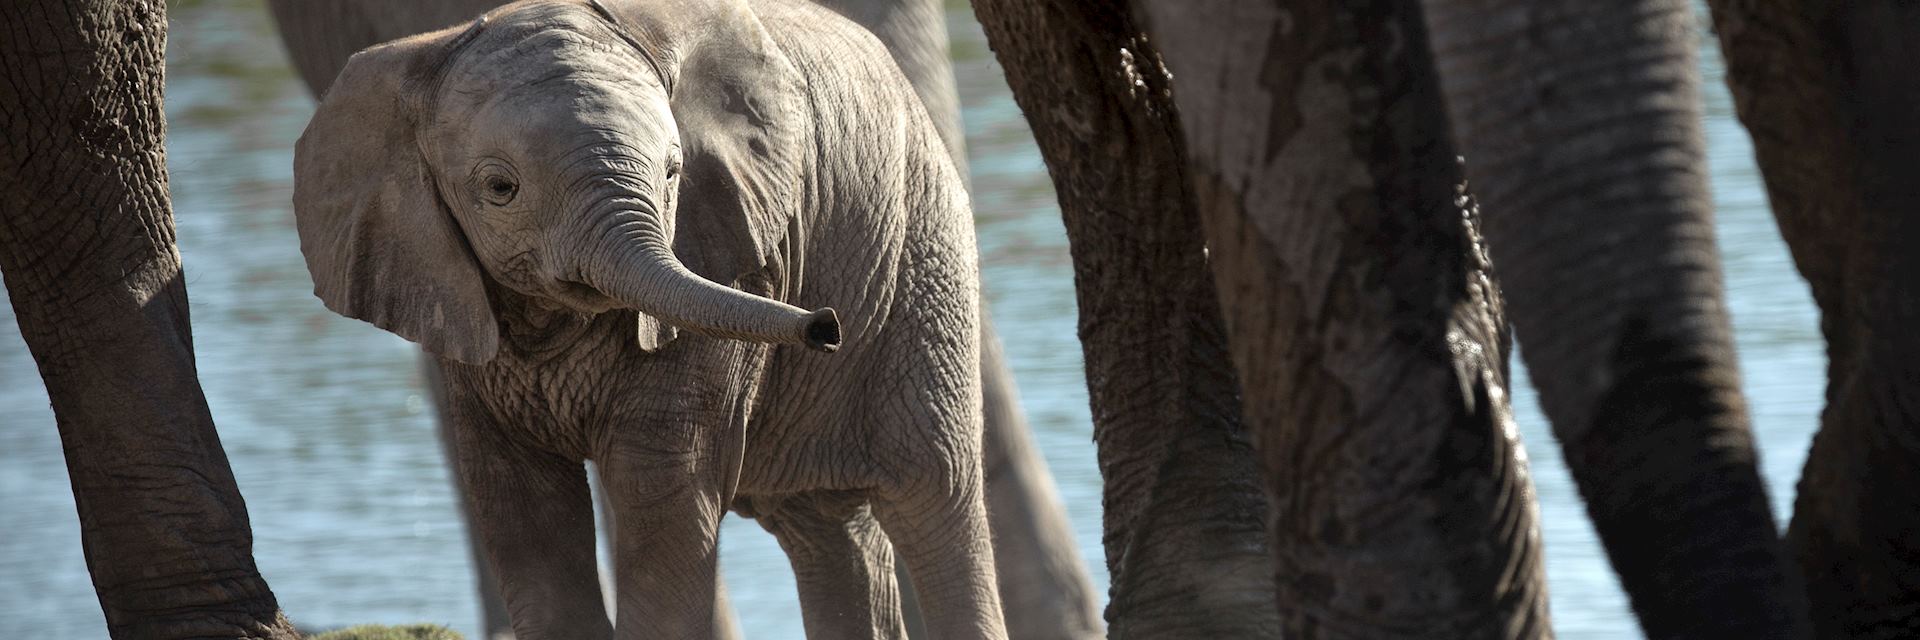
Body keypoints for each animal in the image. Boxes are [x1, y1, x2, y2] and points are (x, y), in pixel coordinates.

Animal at [289, 0, 1006, 634]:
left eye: (672, 174)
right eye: (499, 189)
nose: (823, 325)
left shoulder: (728, 252)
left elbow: (660, 487)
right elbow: (519, 506)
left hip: (928, 248)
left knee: (935, 499)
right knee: (825, 530)